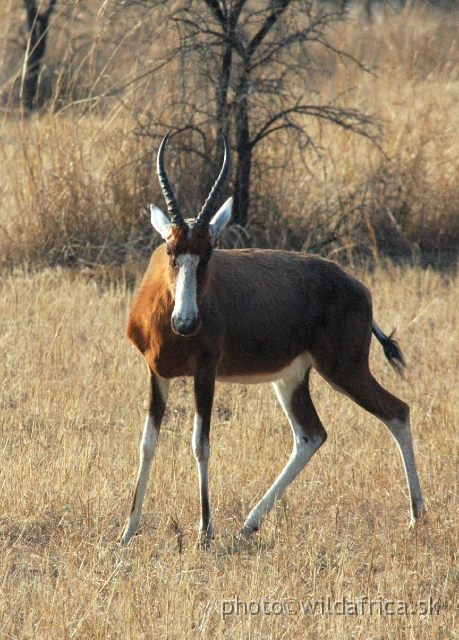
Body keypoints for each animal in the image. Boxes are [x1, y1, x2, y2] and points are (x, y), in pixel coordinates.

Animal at [119, 132, 428, 548]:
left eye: (209, 251)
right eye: (171, 250)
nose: (186, 323)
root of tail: (357, 287)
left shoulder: (205, 372)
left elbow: (200, 443)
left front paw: (205, 533)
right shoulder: (158, 374)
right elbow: (147, 443)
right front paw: (127, 530)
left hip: (345, 370)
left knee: (397, 411)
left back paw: (416, 517)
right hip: (291, 378)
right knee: (312, 434)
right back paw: (249, 524)